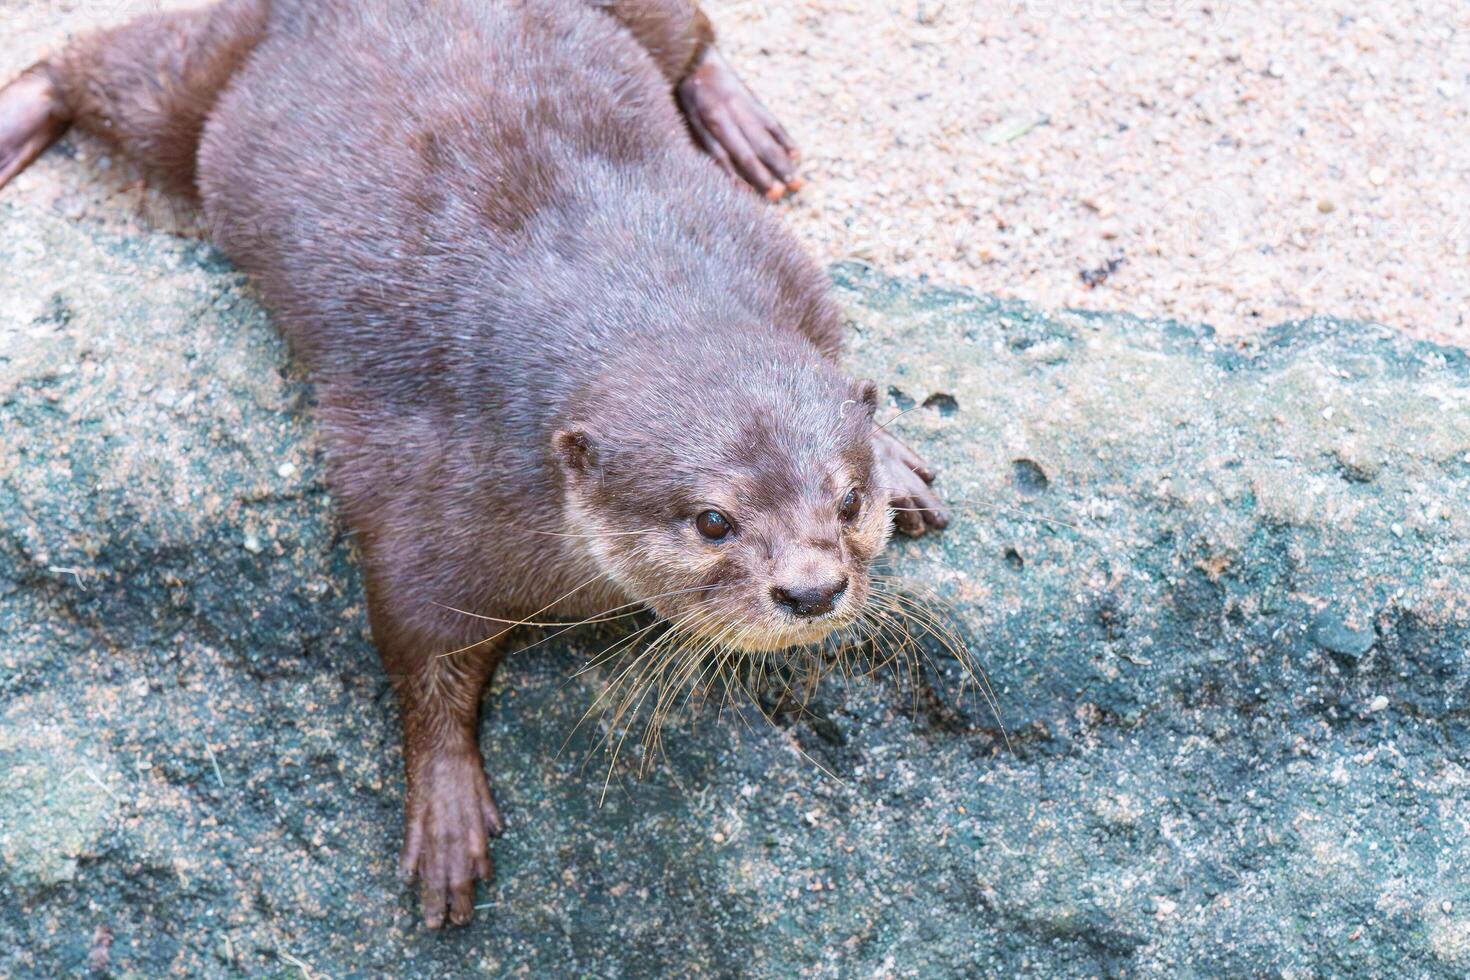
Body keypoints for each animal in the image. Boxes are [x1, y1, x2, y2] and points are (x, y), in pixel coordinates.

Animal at [0, 0, 946, 928]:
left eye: (848, 501)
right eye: (714, 520)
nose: (813, 590)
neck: (626, 292)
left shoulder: (779, 264)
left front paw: (896, 456)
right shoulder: (425, 486)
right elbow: (417, 644)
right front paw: (445, 804)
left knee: (694, 35)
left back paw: (744, 129)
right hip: (201, 76)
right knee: (96, 65)